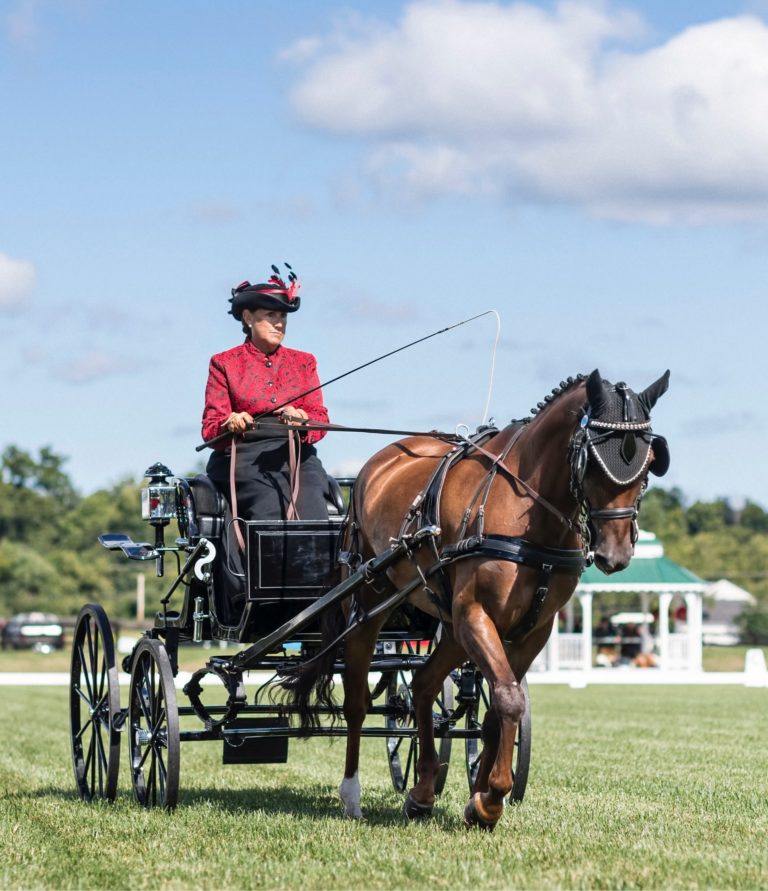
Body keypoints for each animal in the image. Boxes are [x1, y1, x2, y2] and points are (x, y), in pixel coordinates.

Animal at [284, 370, 668, 828]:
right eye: (591, 460)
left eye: (648, 462)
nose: (616, 554)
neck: (527, 510)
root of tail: (376, 465)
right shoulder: (476, 614)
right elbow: (507, 698)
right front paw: (491, 799)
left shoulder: (532, 630)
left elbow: (497, 710)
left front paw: (480, 797)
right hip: (370, 604)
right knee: (357, 701)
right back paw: (352, 794)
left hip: (451, 626)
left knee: (424, 683)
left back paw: (422, 792)